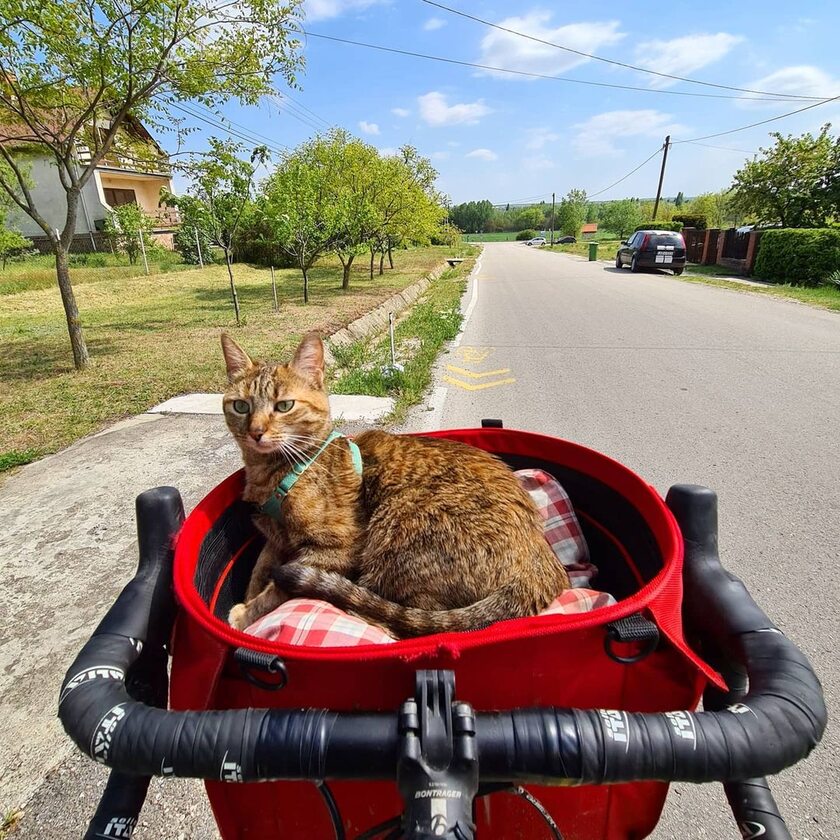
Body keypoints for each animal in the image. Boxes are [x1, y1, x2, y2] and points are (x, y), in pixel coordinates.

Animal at [221, 330, 572, 636]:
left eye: (284, 406)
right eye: (241, 406)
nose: (256, 432)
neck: (273, 472)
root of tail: (540, 559)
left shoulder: (337, 549)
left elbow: (275, 588)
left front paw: (245, 614)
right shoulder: (272, 539)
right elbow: (257, 571)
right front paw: (248, 599)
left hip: (398, 527)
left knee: (398, 618)